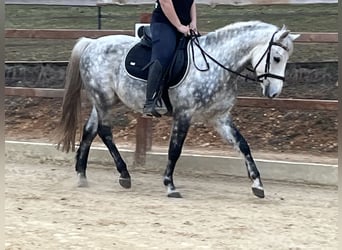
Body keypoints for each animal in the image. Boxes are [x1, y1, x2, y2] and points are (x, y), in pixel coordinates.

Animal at [56, 20, 300, 198]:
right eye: (276, 57)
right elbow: (175, 150)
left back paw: (82, 175)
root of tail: (92, 43)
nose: (274, 93)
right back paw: (124, 175)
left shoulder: (219, 118)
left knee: (90, 130)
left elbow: (243, 145)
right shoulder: (184, 114)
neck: (217, 64)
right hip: (103, 99)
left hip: (106, 102)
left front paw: (258, 185)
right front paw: (170, 185)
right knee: (104, 131)